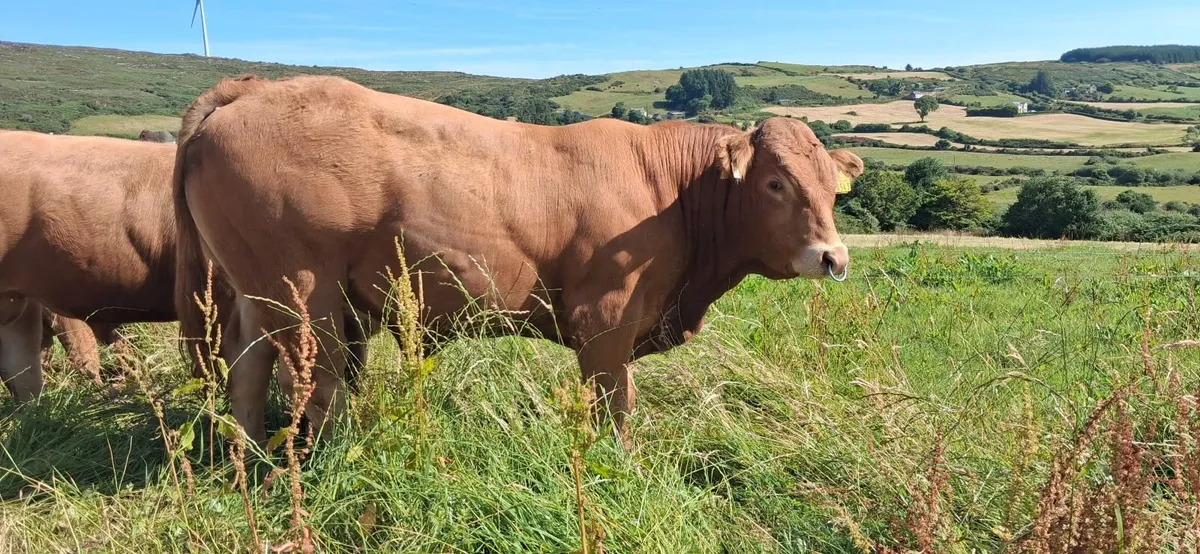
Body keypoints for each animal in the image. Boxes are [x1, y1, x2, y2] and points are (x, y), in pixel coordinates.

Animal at [173, 74, 863, 447]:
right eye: (775, 182)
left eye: (831, 185)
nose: (833, 257)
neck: (670, 190)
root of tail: (248, 91)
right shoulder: (605, 319)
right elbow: (615, 403)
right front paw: (622, 463)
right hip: (303, 293)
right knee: (318, 386)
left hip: (255, 289)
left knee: (247, 372)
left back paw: (249, 462)